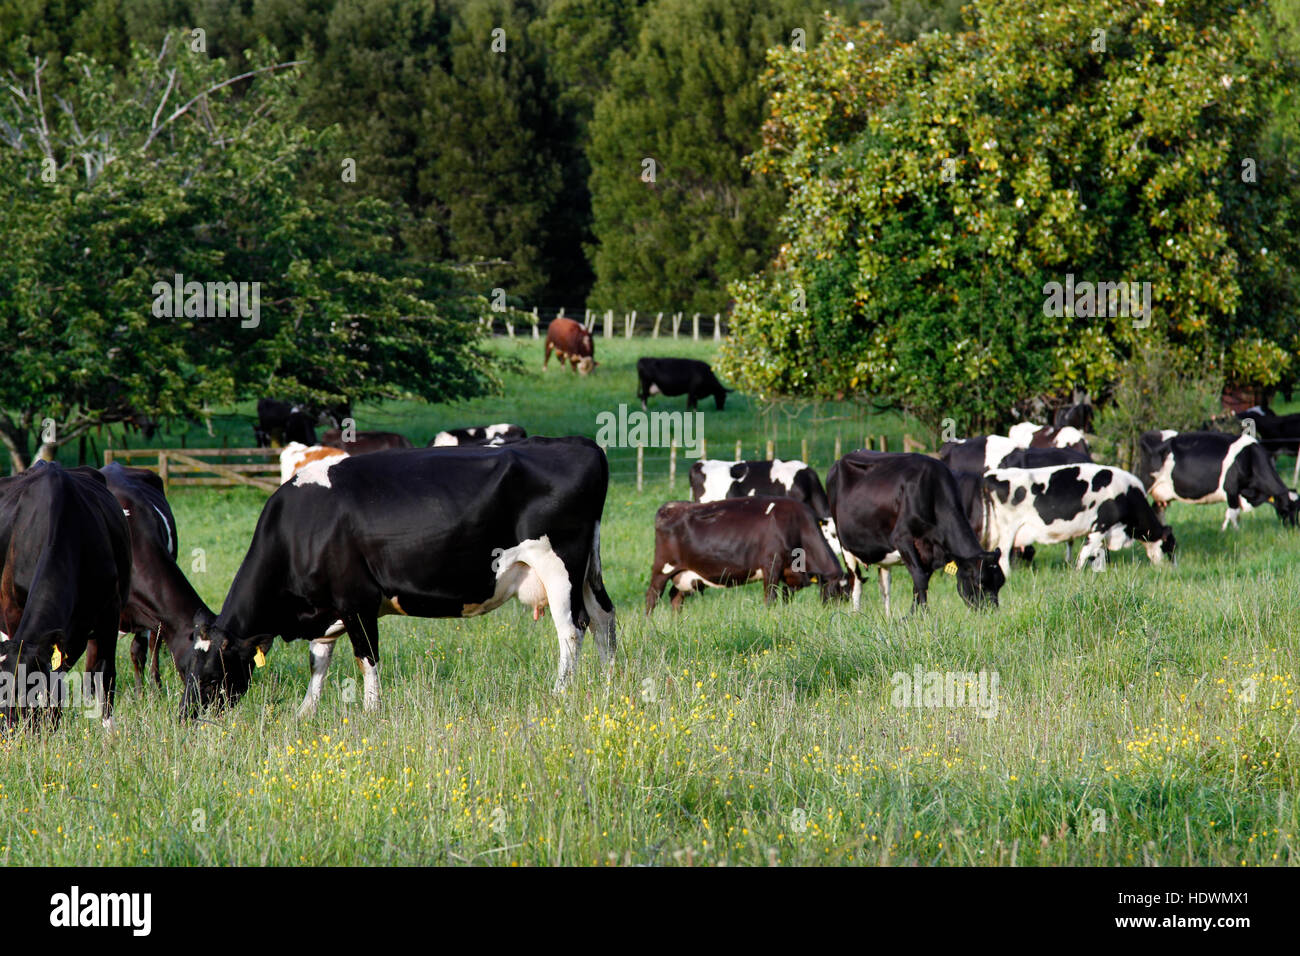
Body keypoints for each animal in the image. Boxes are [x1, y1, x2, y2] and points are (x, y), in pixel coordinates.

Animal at [181, 437, 616, 718]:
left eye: (211, 676)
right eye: (185, 671)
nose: (186, 717)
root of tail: (579, 444)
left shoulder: (356, 602)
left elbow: (366, 660)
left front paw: (372, 712)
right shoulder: (327, 610)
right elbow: (318, 661)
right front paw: (305, 713)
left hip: (559, 567)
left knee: (572, 630)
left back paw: (560, 693)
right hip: (588, 572)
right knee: (604, 619)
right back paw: (608, 682)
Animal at [645, 497, 846, 613]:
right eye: (837, 592)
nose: (837, 616)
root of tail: (671, 506)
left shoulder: (789, 574)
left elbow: (785, 598)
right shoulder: (771, 564)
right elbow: (770, 598)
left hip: (684, 574)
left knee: (676, 597)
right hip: (662, 567)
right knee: (652, 596)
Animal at [827, 451, 1004, 616]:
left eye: (1000, 583)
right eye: (979, 582)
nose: (991, 612)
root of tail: (840, 460)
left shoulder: (931, 552)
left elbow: (918, 585)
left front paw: (912, 615)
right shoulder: (903, 539)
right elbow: (920, 578)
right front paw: (924, 615)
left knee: (885, 587)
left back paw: (887, 617)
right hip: (845, 546)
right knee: (856, 583)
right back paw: (856, 615)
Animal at [976, 464, 1176, 575]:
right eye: (1170, 546)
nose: (1171, 569)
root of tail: (990, 475)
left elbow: (1098, 554)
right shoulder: (1101, 525)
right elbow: (1085, 553)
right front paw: (1077, 574)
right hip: (1007, 530)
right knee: (1003, 555)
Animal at [1139, 430, 1299, 530]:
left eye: (1298, 509)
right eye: (1286, 508)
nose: (1294, 528)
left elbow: (1231, 515)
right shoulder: (1231, 489)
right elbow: (1233, 515)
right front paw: (1233, 533)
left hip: (1161, 496)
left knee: (1158, 512)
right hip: (1145, 483)